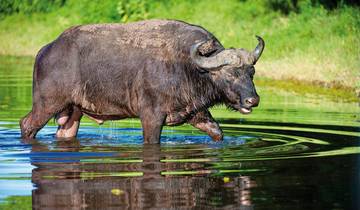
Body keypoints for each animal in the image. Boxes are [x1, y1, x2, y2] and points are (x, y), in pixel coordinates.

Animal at [19, 19, 264, 144]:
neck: (187, 66)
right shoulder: (151, 116)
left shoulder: (195, 113)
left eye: (251, 72)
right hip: (47, 104)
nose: (252, 100)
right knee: (26, 125)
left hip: (73, 113)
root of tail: (46, 50)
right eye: (230, 74)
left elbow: (217, 132)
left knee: (64, 134)